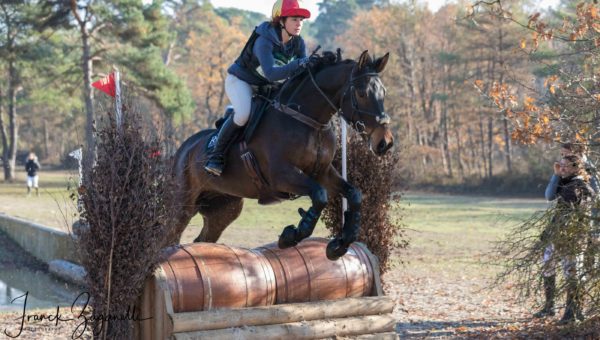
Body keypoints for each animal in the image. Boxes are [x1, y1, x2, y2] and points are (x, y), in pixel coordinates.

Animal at [171, 49, 394, 258]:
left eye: (384, 92)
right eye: (362, 93)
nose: (385, 143)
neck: (310, 121)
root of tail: (183, 148)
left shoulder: (323, 172)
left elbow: (354, 194)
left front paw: (340, 244)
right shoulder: (281, 176)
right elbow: (319, 195)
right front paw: (291, 236)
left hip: (224, 209)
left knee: (203, 238)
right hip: (183, 205)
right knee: (171, 235)